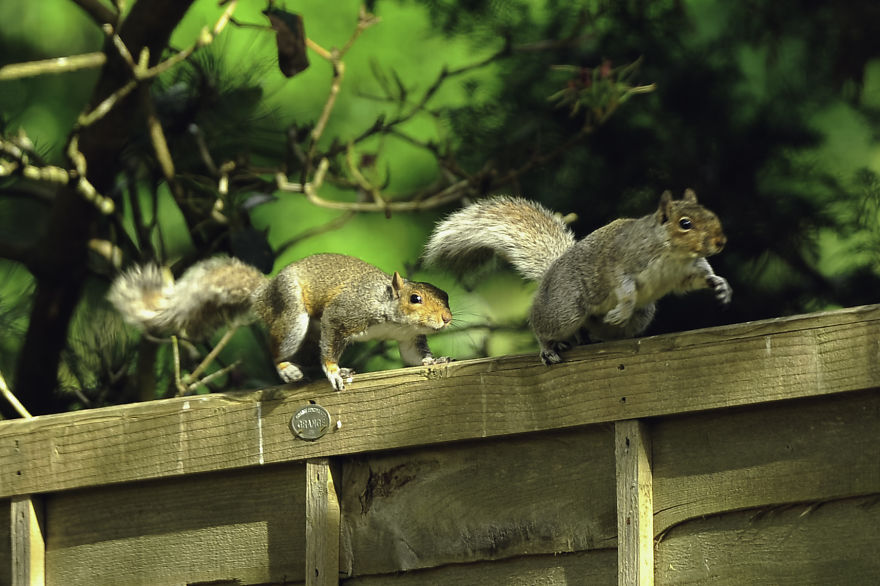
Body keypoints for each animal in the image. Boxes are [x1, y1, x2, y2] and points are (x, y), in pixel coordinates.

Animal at [108, 253, 453, 390]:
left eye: (446, 296)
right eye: (415, 299)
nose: (447, 319)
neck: (390, 312)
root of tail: (263, 293)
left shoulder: (408, 337)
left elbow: (413, 356)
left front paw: (434, 360)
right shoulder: (345, 313)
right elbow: (332, 339)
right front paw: (334, 372)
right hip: (292, 318)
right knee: (278, 348)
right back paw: (288, 369)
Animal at [423, 189, 731, 365]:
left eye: (712, 214)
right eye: (685, 224)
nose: (720, 242)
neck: (672, 254)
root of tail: (552, 271)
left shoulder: (686, 271)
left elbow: (697, 279)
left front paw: (720, 285)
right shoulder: (621, 262)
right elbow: (624, 288)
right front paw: (623, 307)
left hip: (638, 316)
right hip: (566, 309)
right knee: (542, 324)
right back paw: (548, 347)